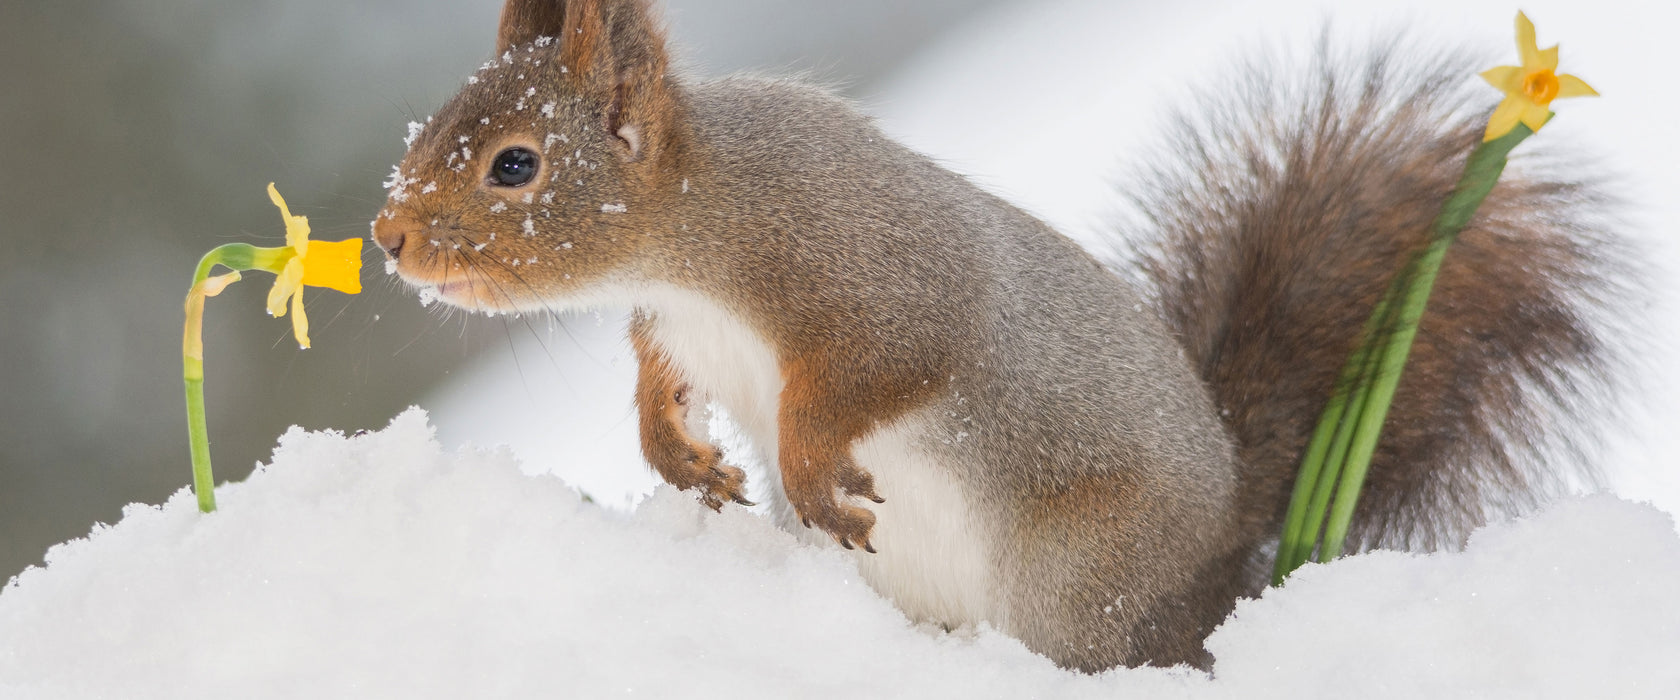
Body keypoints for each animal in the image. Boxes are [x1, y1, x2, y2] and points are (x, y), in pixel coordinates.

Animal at [374, 0, 1619, 668]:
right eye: (434, 125)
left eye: (516, 165)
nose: (386, 235)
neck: (694, 233)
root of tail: (1230, 548)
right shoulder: (679, 326)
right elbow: (658, 374)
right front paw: (679, 453)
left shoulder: (876, 277)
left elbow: (886, 366)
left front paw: (811, 468)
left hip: (1076, 580)